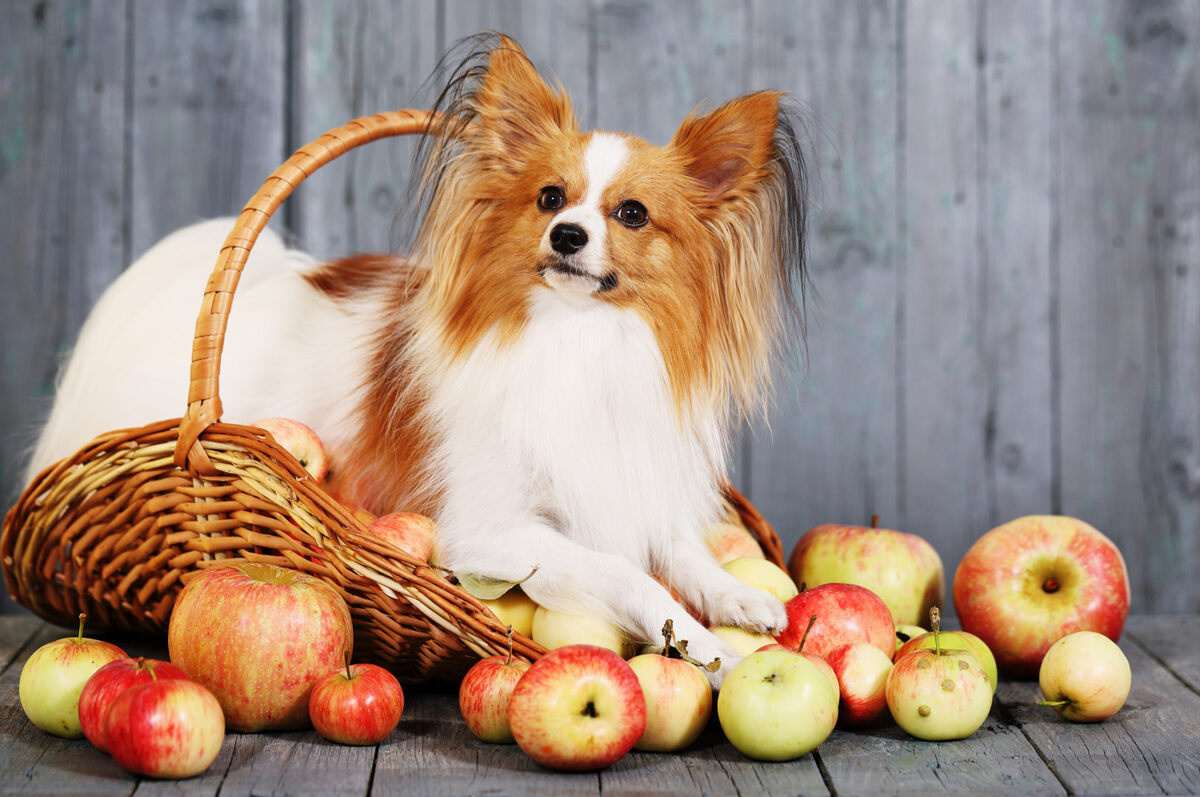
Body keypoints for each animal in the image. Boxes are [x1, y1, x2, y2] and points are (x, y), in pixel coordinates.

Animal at [28, 35, 811, 686]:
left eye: (633, 214)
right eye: (550, 198)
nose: (566, 234)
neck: (575, 336)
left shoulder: (634, 486)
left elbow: (684, 553)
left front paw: (740, 596)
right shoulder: (492, 530)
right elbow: (632, 576)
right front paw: (713, 650)